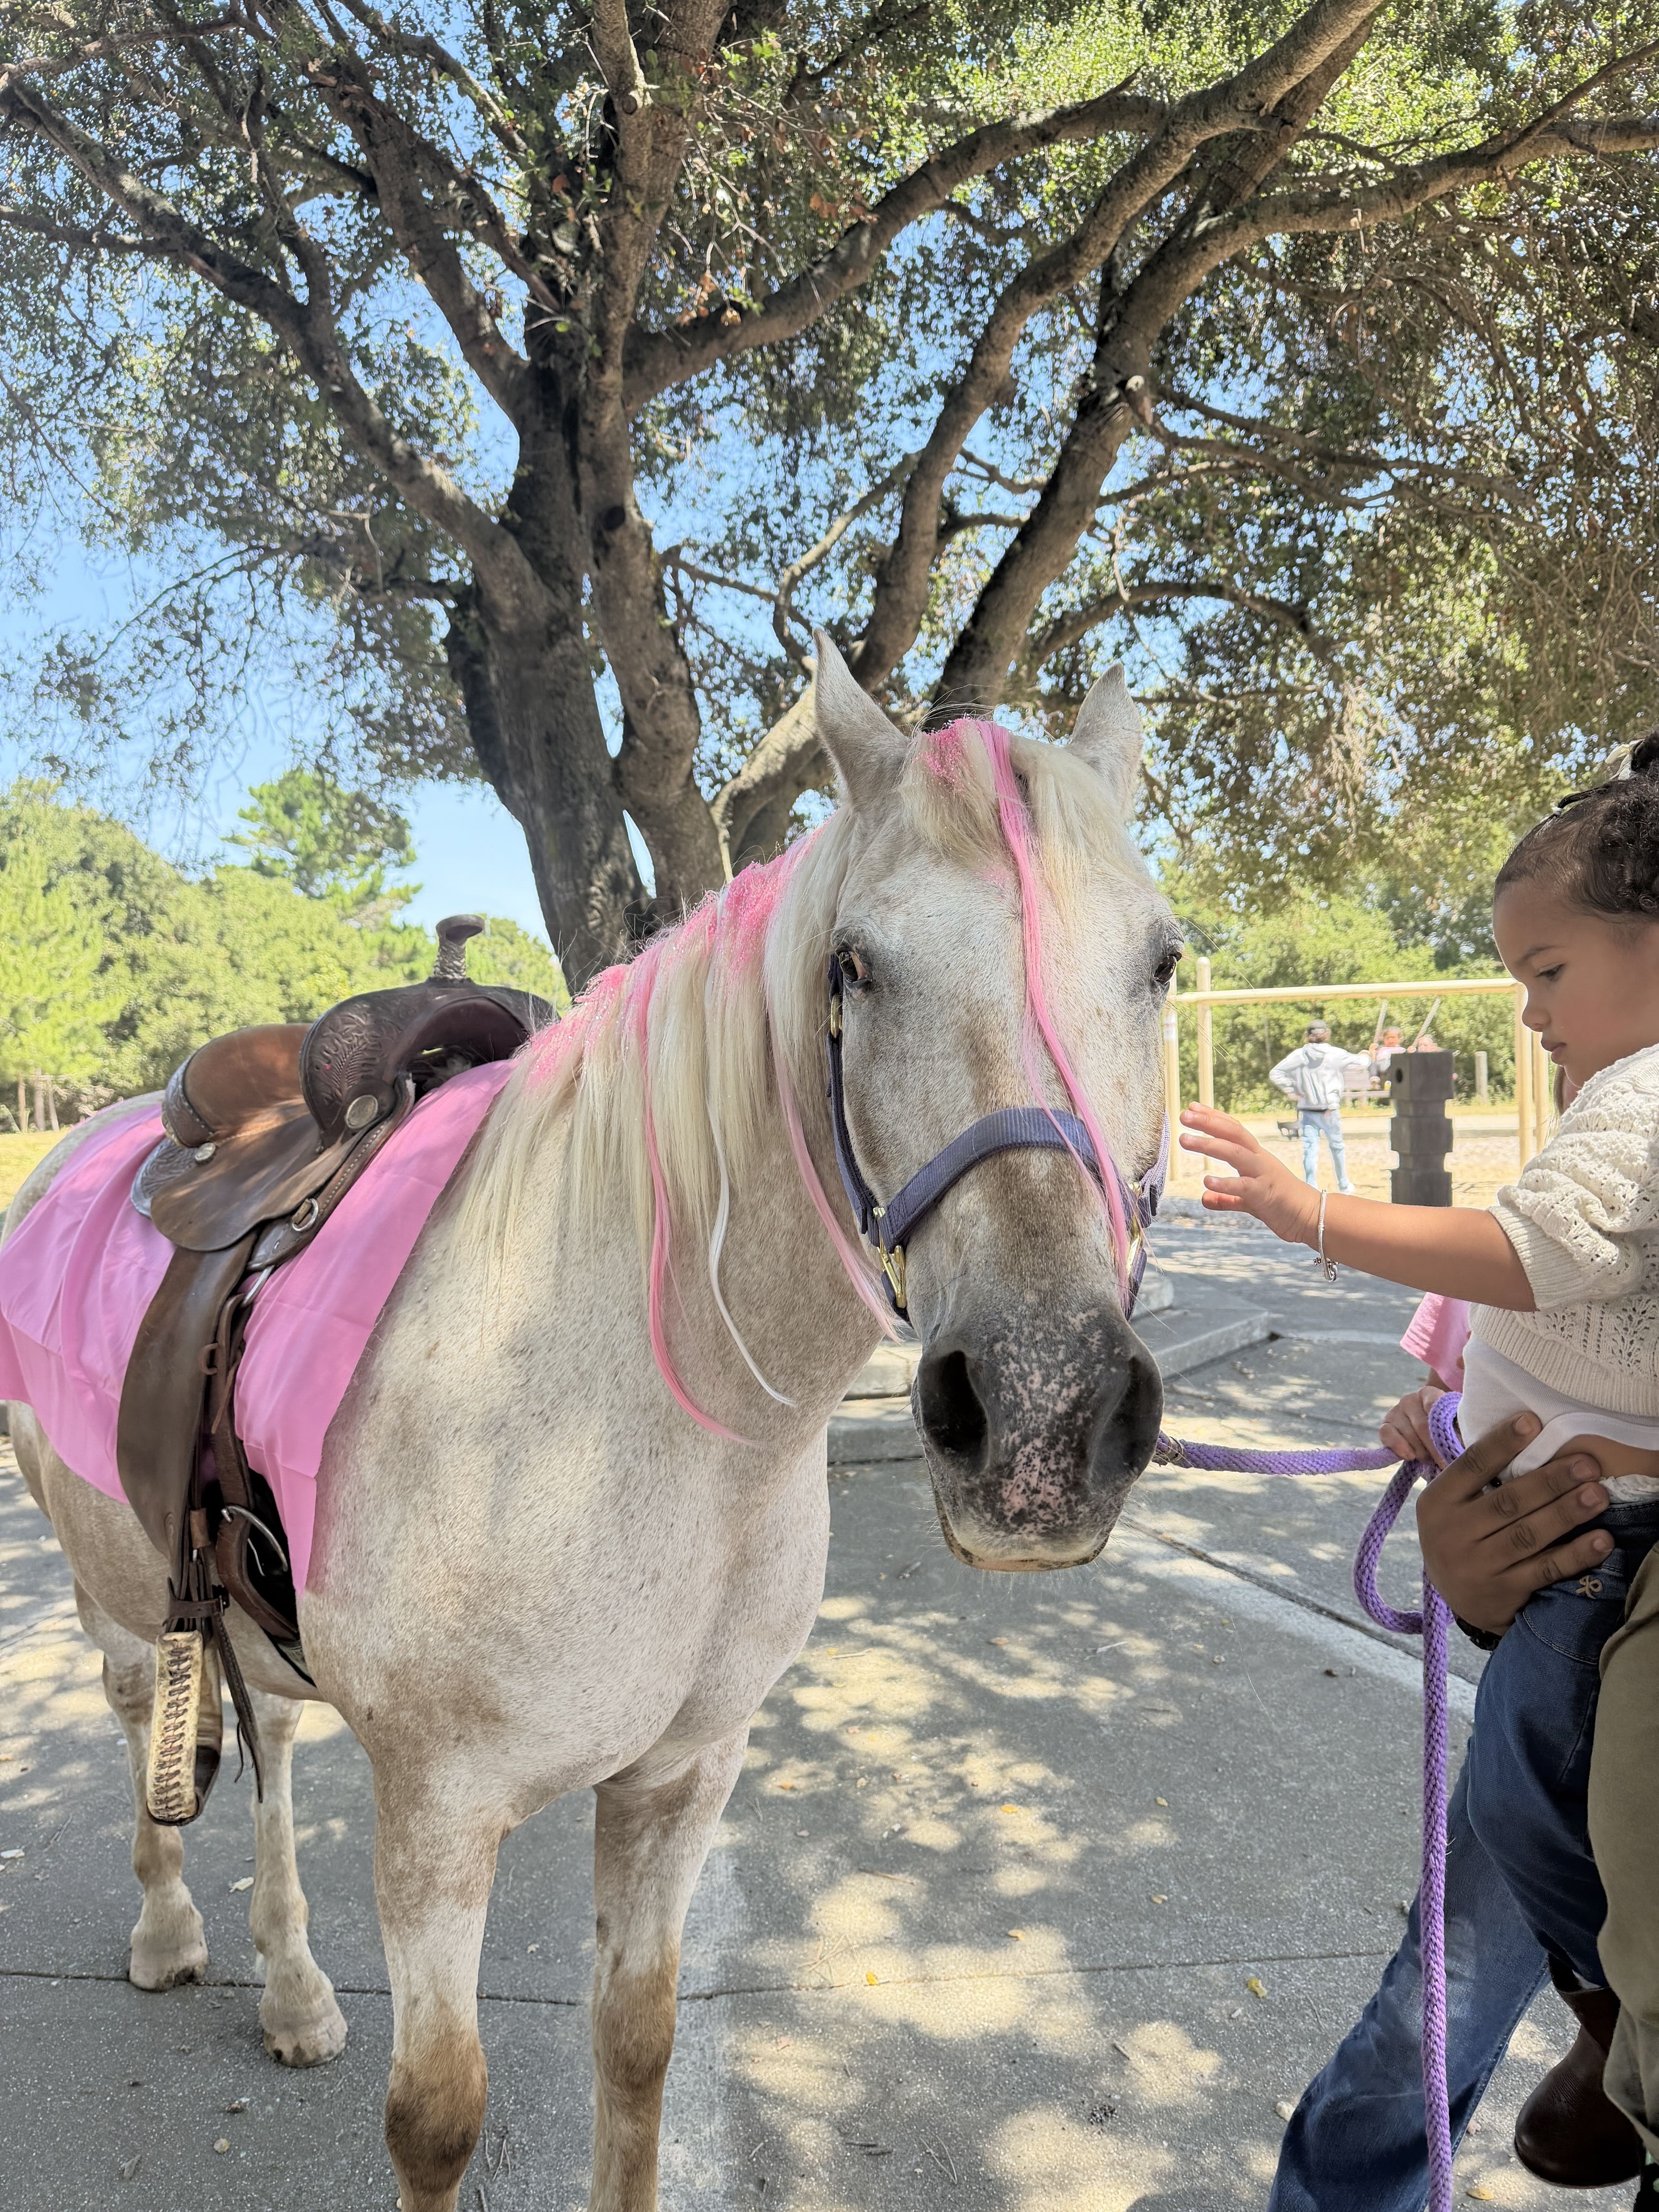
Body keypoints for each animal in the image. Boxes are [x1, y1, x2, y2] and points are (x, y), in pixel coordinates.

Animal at [3, 634, 1178, 2212]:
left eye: (1162, 960)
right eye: (856, 965)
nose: (1045, 1412)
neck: (634, 1420)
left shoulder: (680, 1778)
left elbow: (637, 2045)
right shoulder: (439, 1818)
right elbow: (439, 2115)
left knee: (279, 1753)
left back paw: (296, 1991)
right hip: (118, 1589)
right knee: (148, 1709)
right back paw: (165, 1933)